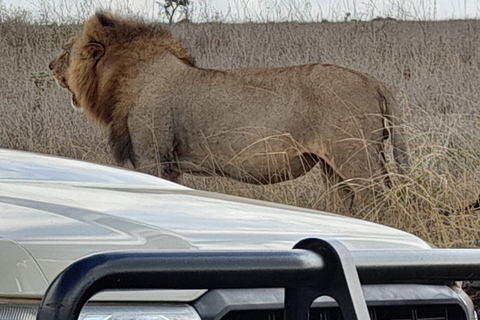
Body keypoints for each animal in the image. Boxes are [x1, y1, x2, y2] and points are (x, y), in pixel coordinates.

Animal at [49, 11, 408, 195]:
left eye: (67, 50)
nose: (50, 66)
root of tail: (375, 81)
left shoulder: (152, 156)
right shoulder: (170, 164)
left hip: (357, 159)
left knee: (380, 197)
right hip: (333, 166)